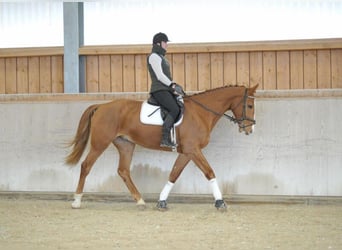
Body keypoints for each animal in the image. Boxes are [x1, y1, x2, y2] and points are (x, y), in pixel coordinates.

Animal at [65, 84, 258, 211]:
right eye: (249, 105)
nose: (249, 129)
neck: (200, 113)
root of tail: (101, 106)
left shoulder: (187, 152)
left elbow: (174, 174)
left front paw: (161, 202)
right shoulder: (193, 150)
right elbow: (209, 172)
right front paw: (220, 202)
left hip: (126, 145)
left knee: (123, 171)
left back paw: (140, 201)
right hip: (100, 143)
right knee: (86, 166)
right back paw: (77, 201)